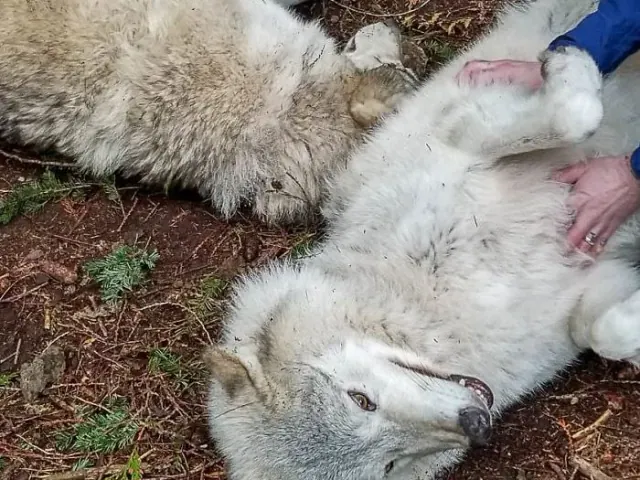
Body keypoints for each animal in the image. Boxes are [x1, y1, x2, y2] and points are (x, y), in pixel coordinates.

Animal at [202, 0, 640, 479]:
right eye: (388, 465)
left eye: (361, 399)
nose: (475, 423)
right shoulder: (590, 284)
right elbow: (606, 331)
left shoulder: (462, 132)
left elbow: (571, 116)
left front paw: (569, 61)